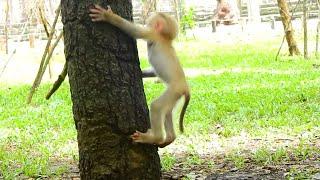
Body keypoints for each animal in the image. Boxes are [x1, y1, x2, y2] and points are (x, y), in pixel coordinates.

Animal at [89, 4, 190, 148]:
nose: (148, 17)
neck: (164, 38)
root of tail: (186, 88)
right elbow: (153, 71)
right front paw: (141, 73)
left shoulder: (151, 33)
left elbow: (135, 31)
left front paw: (108, 16)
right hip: (176, 95)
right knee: (167, 111)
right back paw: (169, 138)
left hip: (174, 90)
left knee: (157, 107)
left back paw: (154, 138)